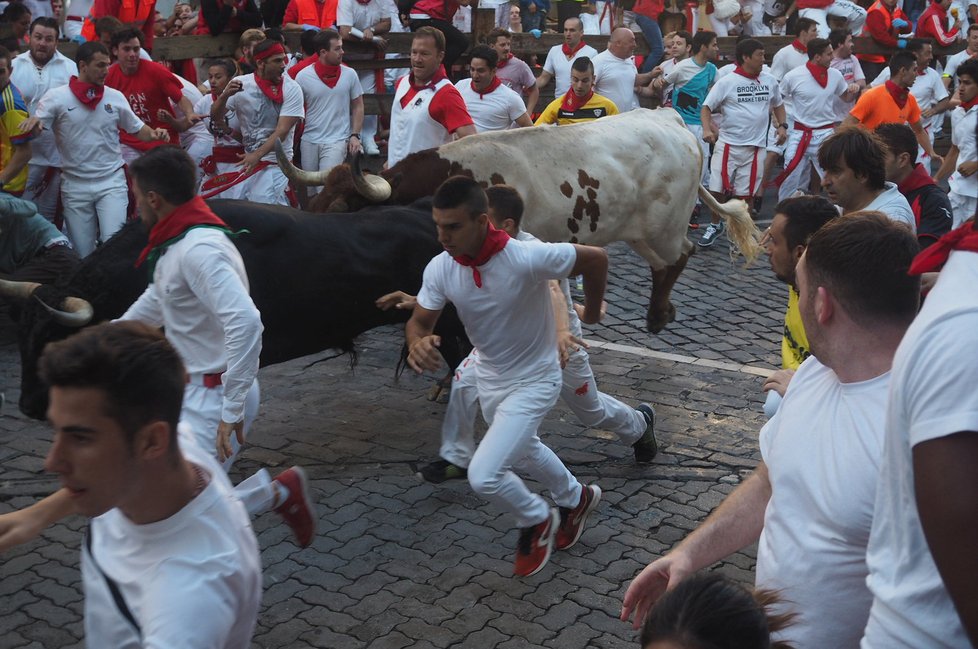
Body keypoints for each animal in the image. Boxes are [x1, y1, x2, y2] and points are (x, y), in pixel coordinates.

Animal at [276, 108, 764, 332]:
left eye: (341, 209)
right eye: (316, 202)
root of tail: (668, 117)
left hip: (663, 227)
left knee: (678, 257)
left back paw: (658, 315)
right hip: (639, 231)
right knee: (667, 264)